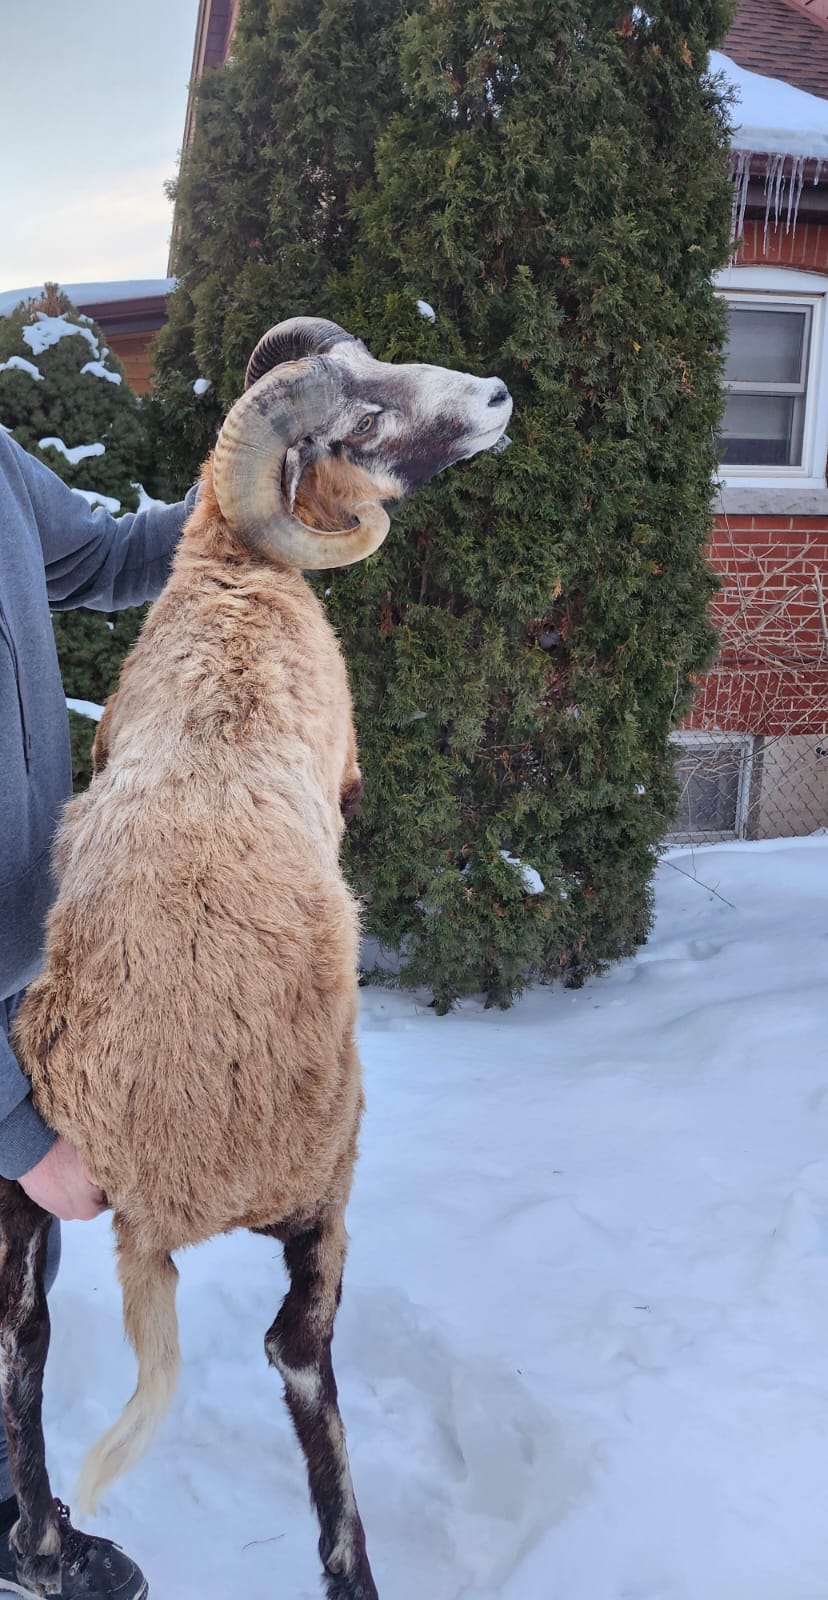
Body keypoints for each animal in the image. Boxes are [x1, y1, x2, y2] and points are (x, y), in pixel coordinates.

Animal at [2, 315, 512, 1599]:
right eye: (362, 416)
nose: (495, 394)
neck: (235, 580)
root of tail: (154, 1198)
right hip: (321, 1182)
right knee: (297, 1350)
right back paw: (350, 1566)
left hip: (20, 1191)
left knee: (20, 1340)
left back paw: (48, 1545)